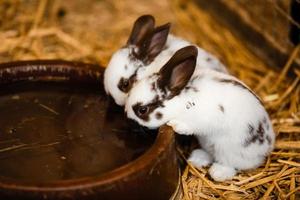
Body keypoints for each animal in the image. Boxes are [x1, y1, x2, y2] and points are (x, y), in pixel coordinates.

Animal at [125, 45, 276, 181]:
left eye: (142, 110)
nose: (127, 119)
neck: (182, 102)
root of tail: (267, 146)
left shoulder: (207, 117)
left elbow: (193, 125)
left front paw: (176, 125)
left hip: (228, 150)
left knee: (232, 165)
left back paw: (217, 172)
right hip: (208, 142)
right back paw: (197, 158)